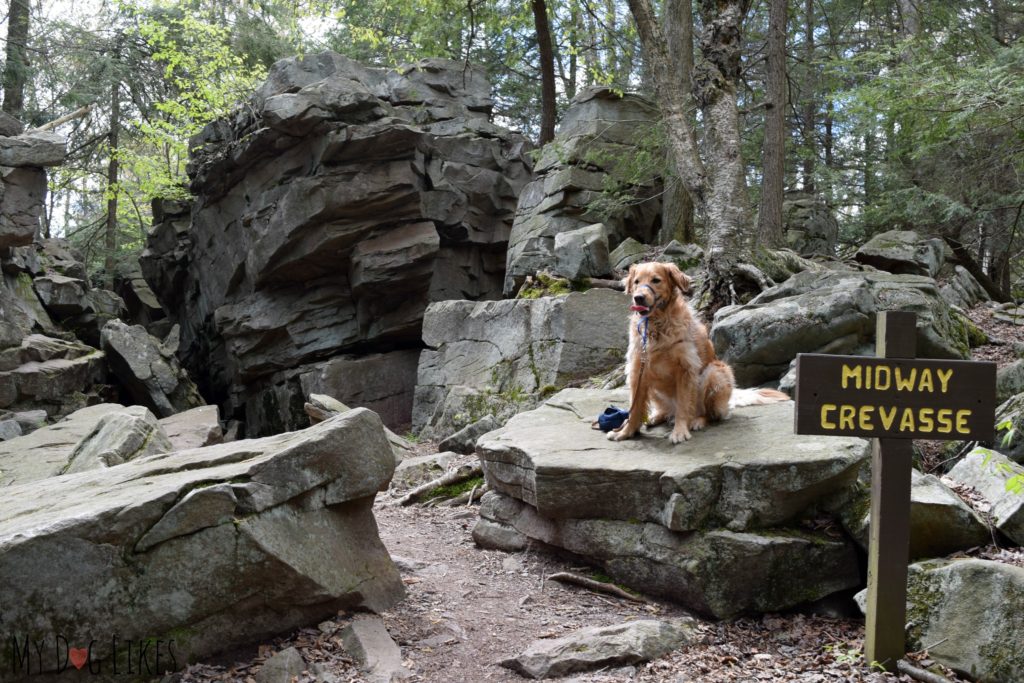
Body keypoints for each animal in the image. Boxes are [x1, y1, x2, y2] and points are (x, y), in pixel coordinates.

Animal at [606, 260, 790, 444]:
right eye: (636, 282)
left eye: (656, 280)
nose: (638, 297)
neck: (657, 325)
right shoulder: (638, 369)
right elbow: (635, 407)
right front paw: (626, 431)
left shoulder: (686, 368)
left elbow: (683, 405)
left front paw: (680, 431)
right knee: (665, 411)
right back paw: (656, 416)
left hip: (716, 373)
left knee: (709, 414)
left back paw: (696, 421)